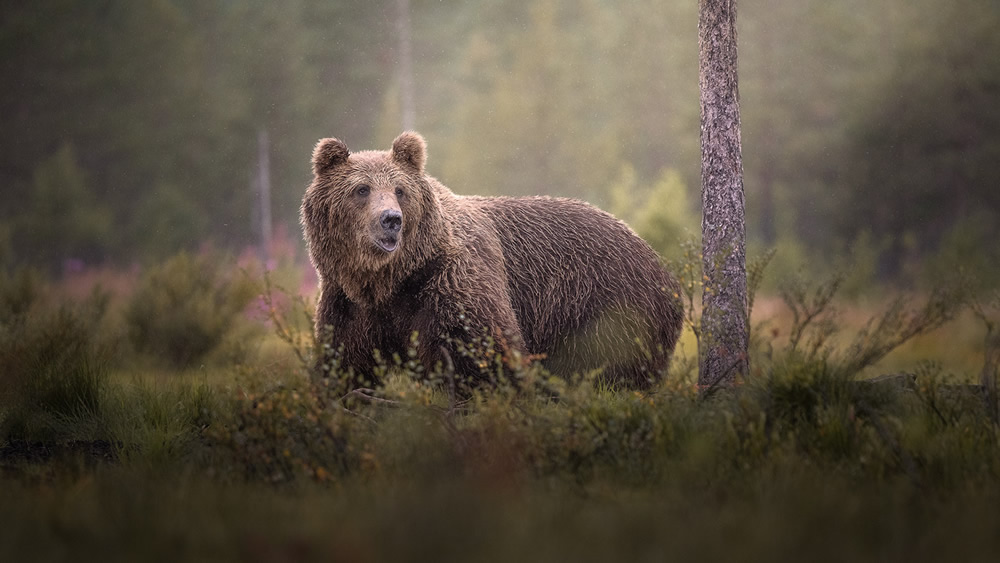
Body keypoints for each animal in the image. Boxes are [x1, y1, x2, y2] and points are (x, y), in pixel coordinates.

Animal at [300, 132, 684, 390]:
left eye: (400, 190)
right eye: (361, 189)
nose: (391, 219)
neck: (392, 281)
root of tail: (662, 265)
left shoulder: (452, 284)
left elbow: (484, 353)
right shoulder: (349, 304)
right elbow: (347, 363)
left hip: (612, 308)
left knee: (617, 370)